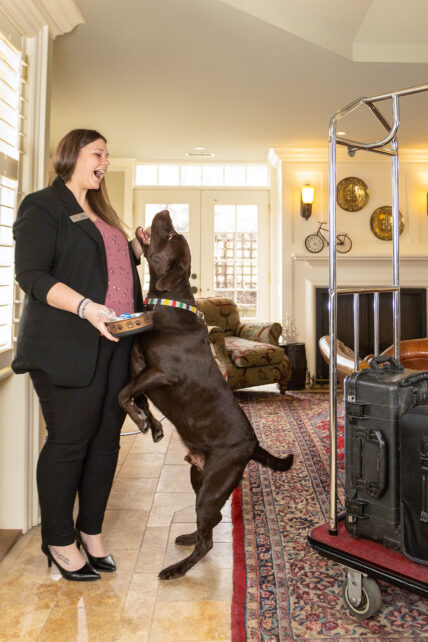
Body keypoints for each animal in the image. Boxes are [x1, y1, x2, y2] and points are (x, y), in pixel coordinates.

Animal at [120, 209, 294, 576]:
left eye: (171, 235)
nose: (166, 212)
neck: (168, 304)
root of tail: (253, 445)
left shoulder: (160, 373)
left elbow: (123, 394)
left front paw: (141, 422)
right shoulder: (139, 368)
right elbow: (136, 396)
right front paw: (152, 426)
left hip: (213, 485)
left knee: (208, 539)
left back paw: (177, 569)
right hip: (197, 477)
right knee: (210, 525)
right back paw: (187, 538)